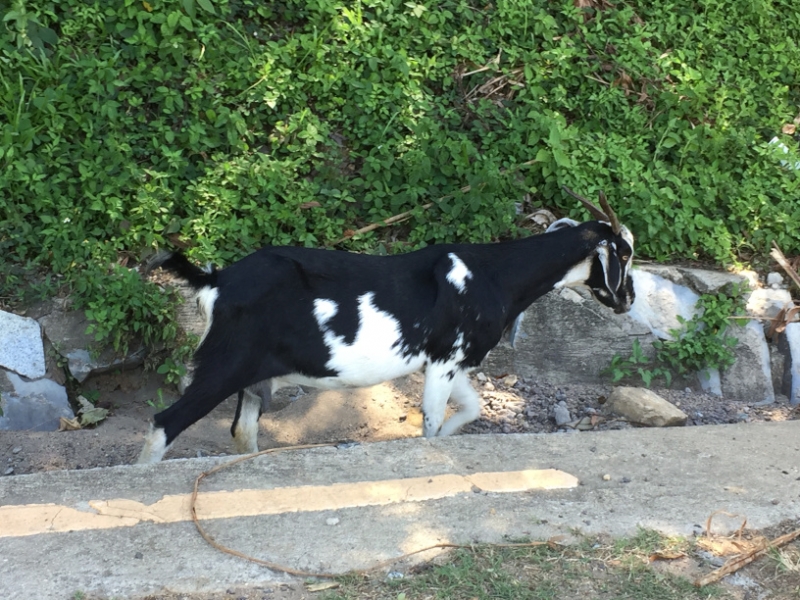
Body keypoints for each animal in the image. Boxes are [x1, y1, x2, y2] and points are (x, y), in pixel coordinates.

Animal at [137, 189, 634, 463]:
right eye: (625, 254)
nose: (627, 300)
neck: (492, 274)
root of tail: (217, 280)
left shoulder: (450, 363)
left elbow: (471, 410)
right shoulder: (444, 361)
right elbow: (431, 422)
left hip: (253, 377)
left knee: (243, 432)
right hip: (225, 365)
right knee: (164, 423)